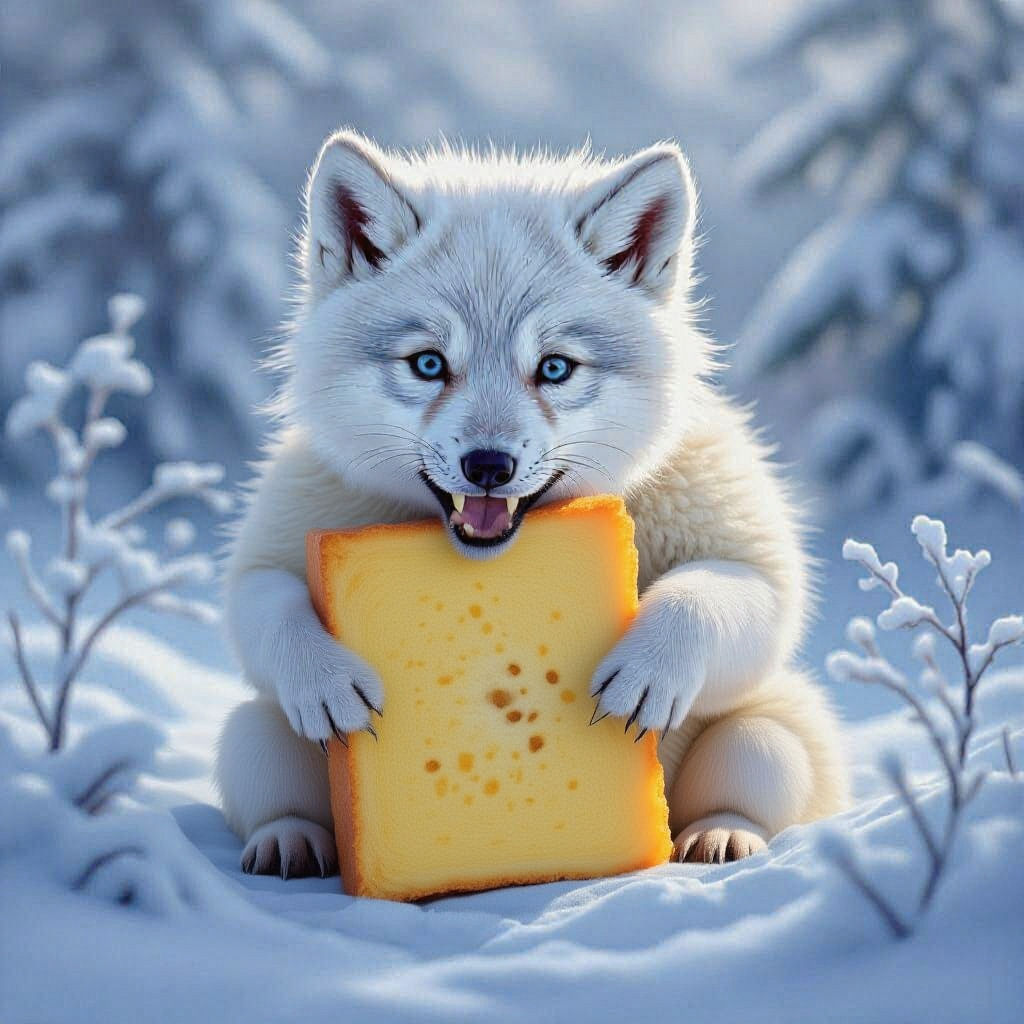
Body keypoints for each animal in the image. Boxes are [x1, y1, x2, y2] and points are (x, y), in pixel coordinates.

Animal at [215, 130, 849, 878]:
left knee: (752, 779)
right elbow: (266, 605)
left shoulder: (744, 547)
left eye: (554, 367)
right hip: (249, 735)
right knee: (270, 782)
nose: (488, 466)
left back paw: (721, 836)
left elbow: (717, 596)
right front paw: (321, 678)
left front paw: (648, 668)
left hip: (771, 731)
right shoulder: (278, 538)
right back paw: (289, 841)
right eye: (428, 364)